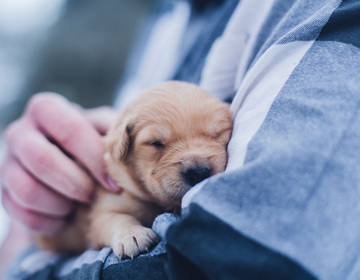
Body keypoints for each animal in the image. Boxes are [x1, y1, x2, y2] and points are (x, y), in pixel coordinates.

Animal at [37, 81, 233, 260]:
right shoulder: (102, 210)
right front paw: (131, 235)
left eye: (218, 133)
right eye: (155, 143)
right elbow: (116, 218)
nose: (199, 173)